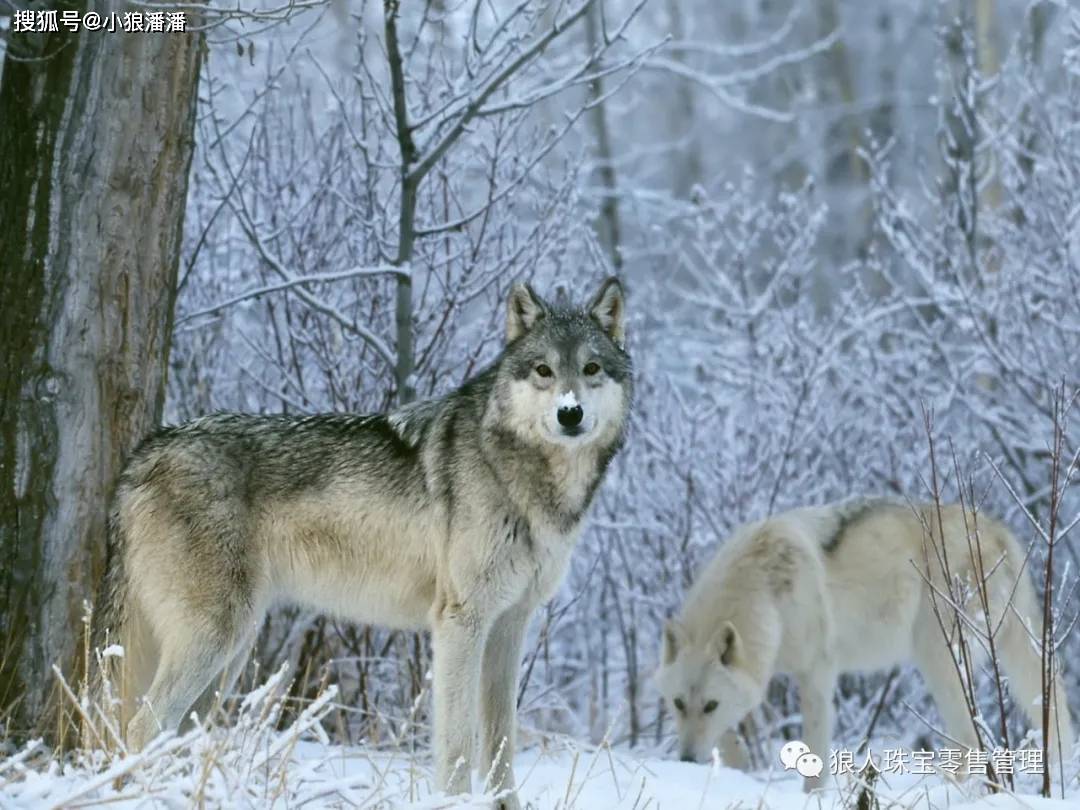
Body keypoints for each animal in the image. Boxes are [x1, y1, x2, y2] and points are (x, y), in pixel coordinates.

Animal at [96, 276, 630, 807]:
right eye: (543, 370)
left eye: (591, 368)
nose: (570, 413)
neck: (524, 477)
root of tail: (143, 453)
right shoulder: (461, 623)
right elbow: (459, 743)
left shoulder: (509, 626)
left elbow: (501, 743)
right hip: (216, 639)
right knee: (142, 725)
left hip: (229, 655)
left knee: (174, 733)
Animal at [652, 501, 1075, 794]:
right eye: (678, 704)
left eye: (709, 705)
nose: (686, 760)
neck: (765, 592)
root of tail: (998, 530)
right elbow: (731, 737)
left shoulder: (816, 674)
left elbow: (815, 752)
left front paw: (811, 797)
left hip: (938, 660)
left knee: (971, 742)